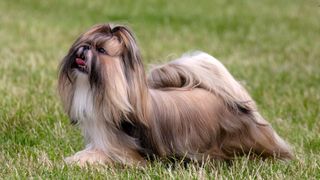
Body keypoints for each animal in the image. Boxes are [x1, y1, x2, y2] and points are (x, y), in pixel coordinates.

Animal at [58, 23, 294, 166]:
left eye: (101, 50)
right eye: (86, 44)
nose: (82, 50)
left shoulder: (125, 154)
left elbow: (102, 156)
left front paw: (76, 161)